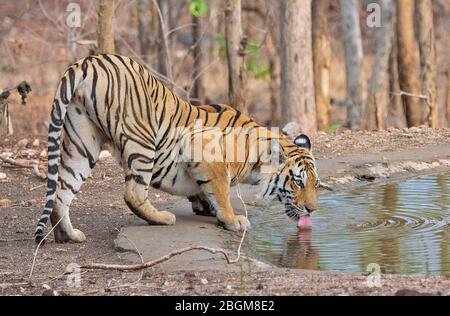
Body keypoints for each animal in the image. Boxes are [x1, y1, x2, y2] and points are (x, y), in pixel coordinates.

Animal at [34, 53, 320, 243]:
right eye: (298, 182)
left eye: (315, 184)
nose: (312, 210)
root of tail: (88, 60)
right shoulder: (203, 149)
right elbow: (222, 192)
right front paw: (232, 220)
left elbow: (207, 191)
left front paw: (206, 208)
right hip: (142, 137)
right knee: (133, 192)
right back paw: (161, 218)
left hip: (83, 143)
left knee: (61, 192)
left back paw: (68, 234)